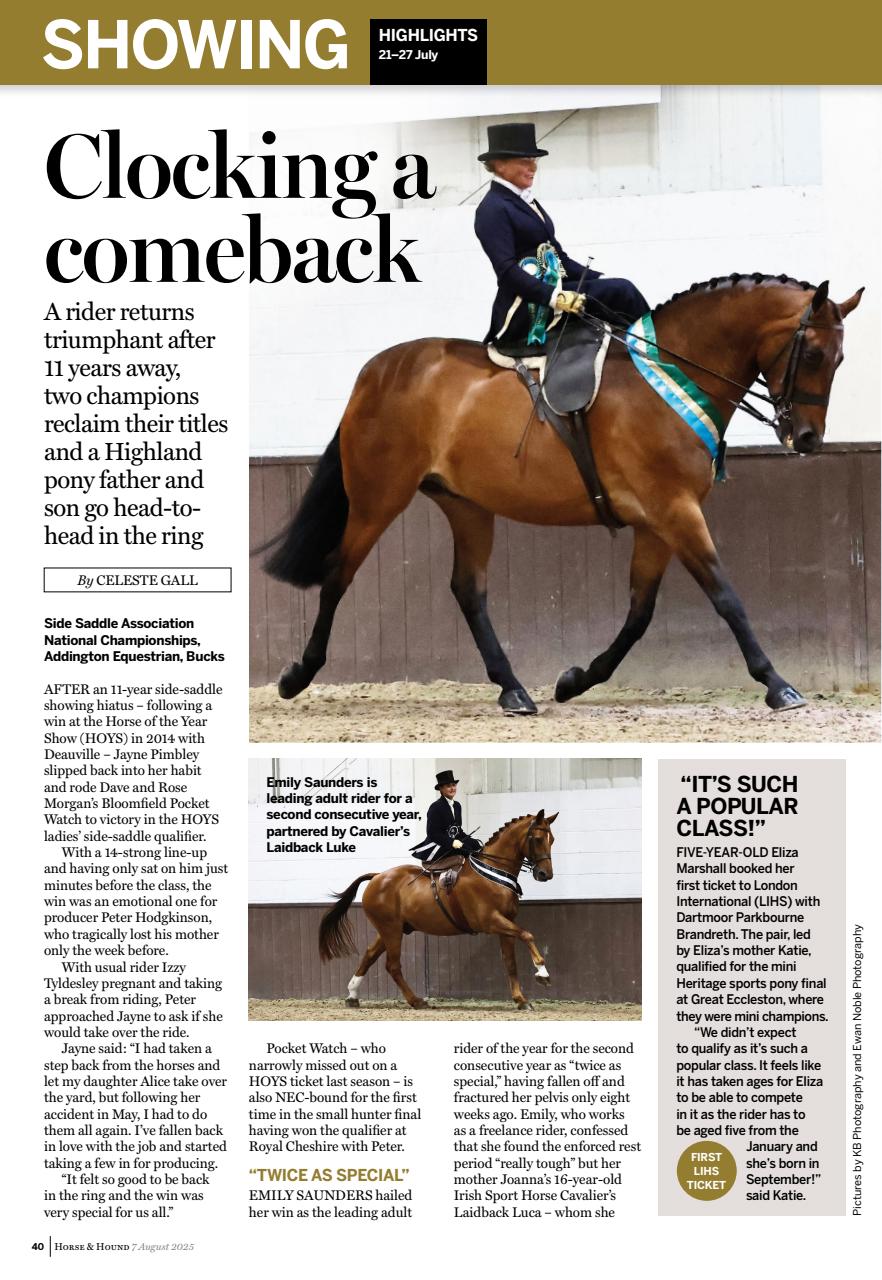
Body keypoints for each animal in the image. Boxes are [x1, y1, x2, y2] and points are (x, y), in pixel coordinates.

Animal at [263, 274, 863, 715]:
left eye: (839, 360)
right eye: (812, 354)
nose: (807, 439)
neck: (668, 377)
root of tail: (373, 372)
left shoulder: (657, 522)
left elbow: (640, 613)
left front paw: (575, 680)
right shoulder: (675, 512)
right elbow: (726, 596)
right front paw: (778, 685)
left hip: (467, 506)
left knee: (468, 591)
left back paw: (513, 691)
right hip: (378, 497)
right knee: (339, 574)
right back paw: (296, 676)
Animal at [318, 811, 557, 1010]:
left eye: (552, 840)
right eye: (537, 839)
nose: (545, 874)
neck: (493, 872)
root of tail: (377, 876)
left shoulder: (506, 924)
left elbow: (510, 962)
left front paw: (521, 1000)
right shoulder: (491, 921)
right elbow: (527, 935)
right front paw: (543, 973)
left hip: (392, 929)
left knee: (369, 955)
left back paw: (352, 996)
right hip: (391, 930)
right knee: (392, 965)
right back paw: (416, 1001)